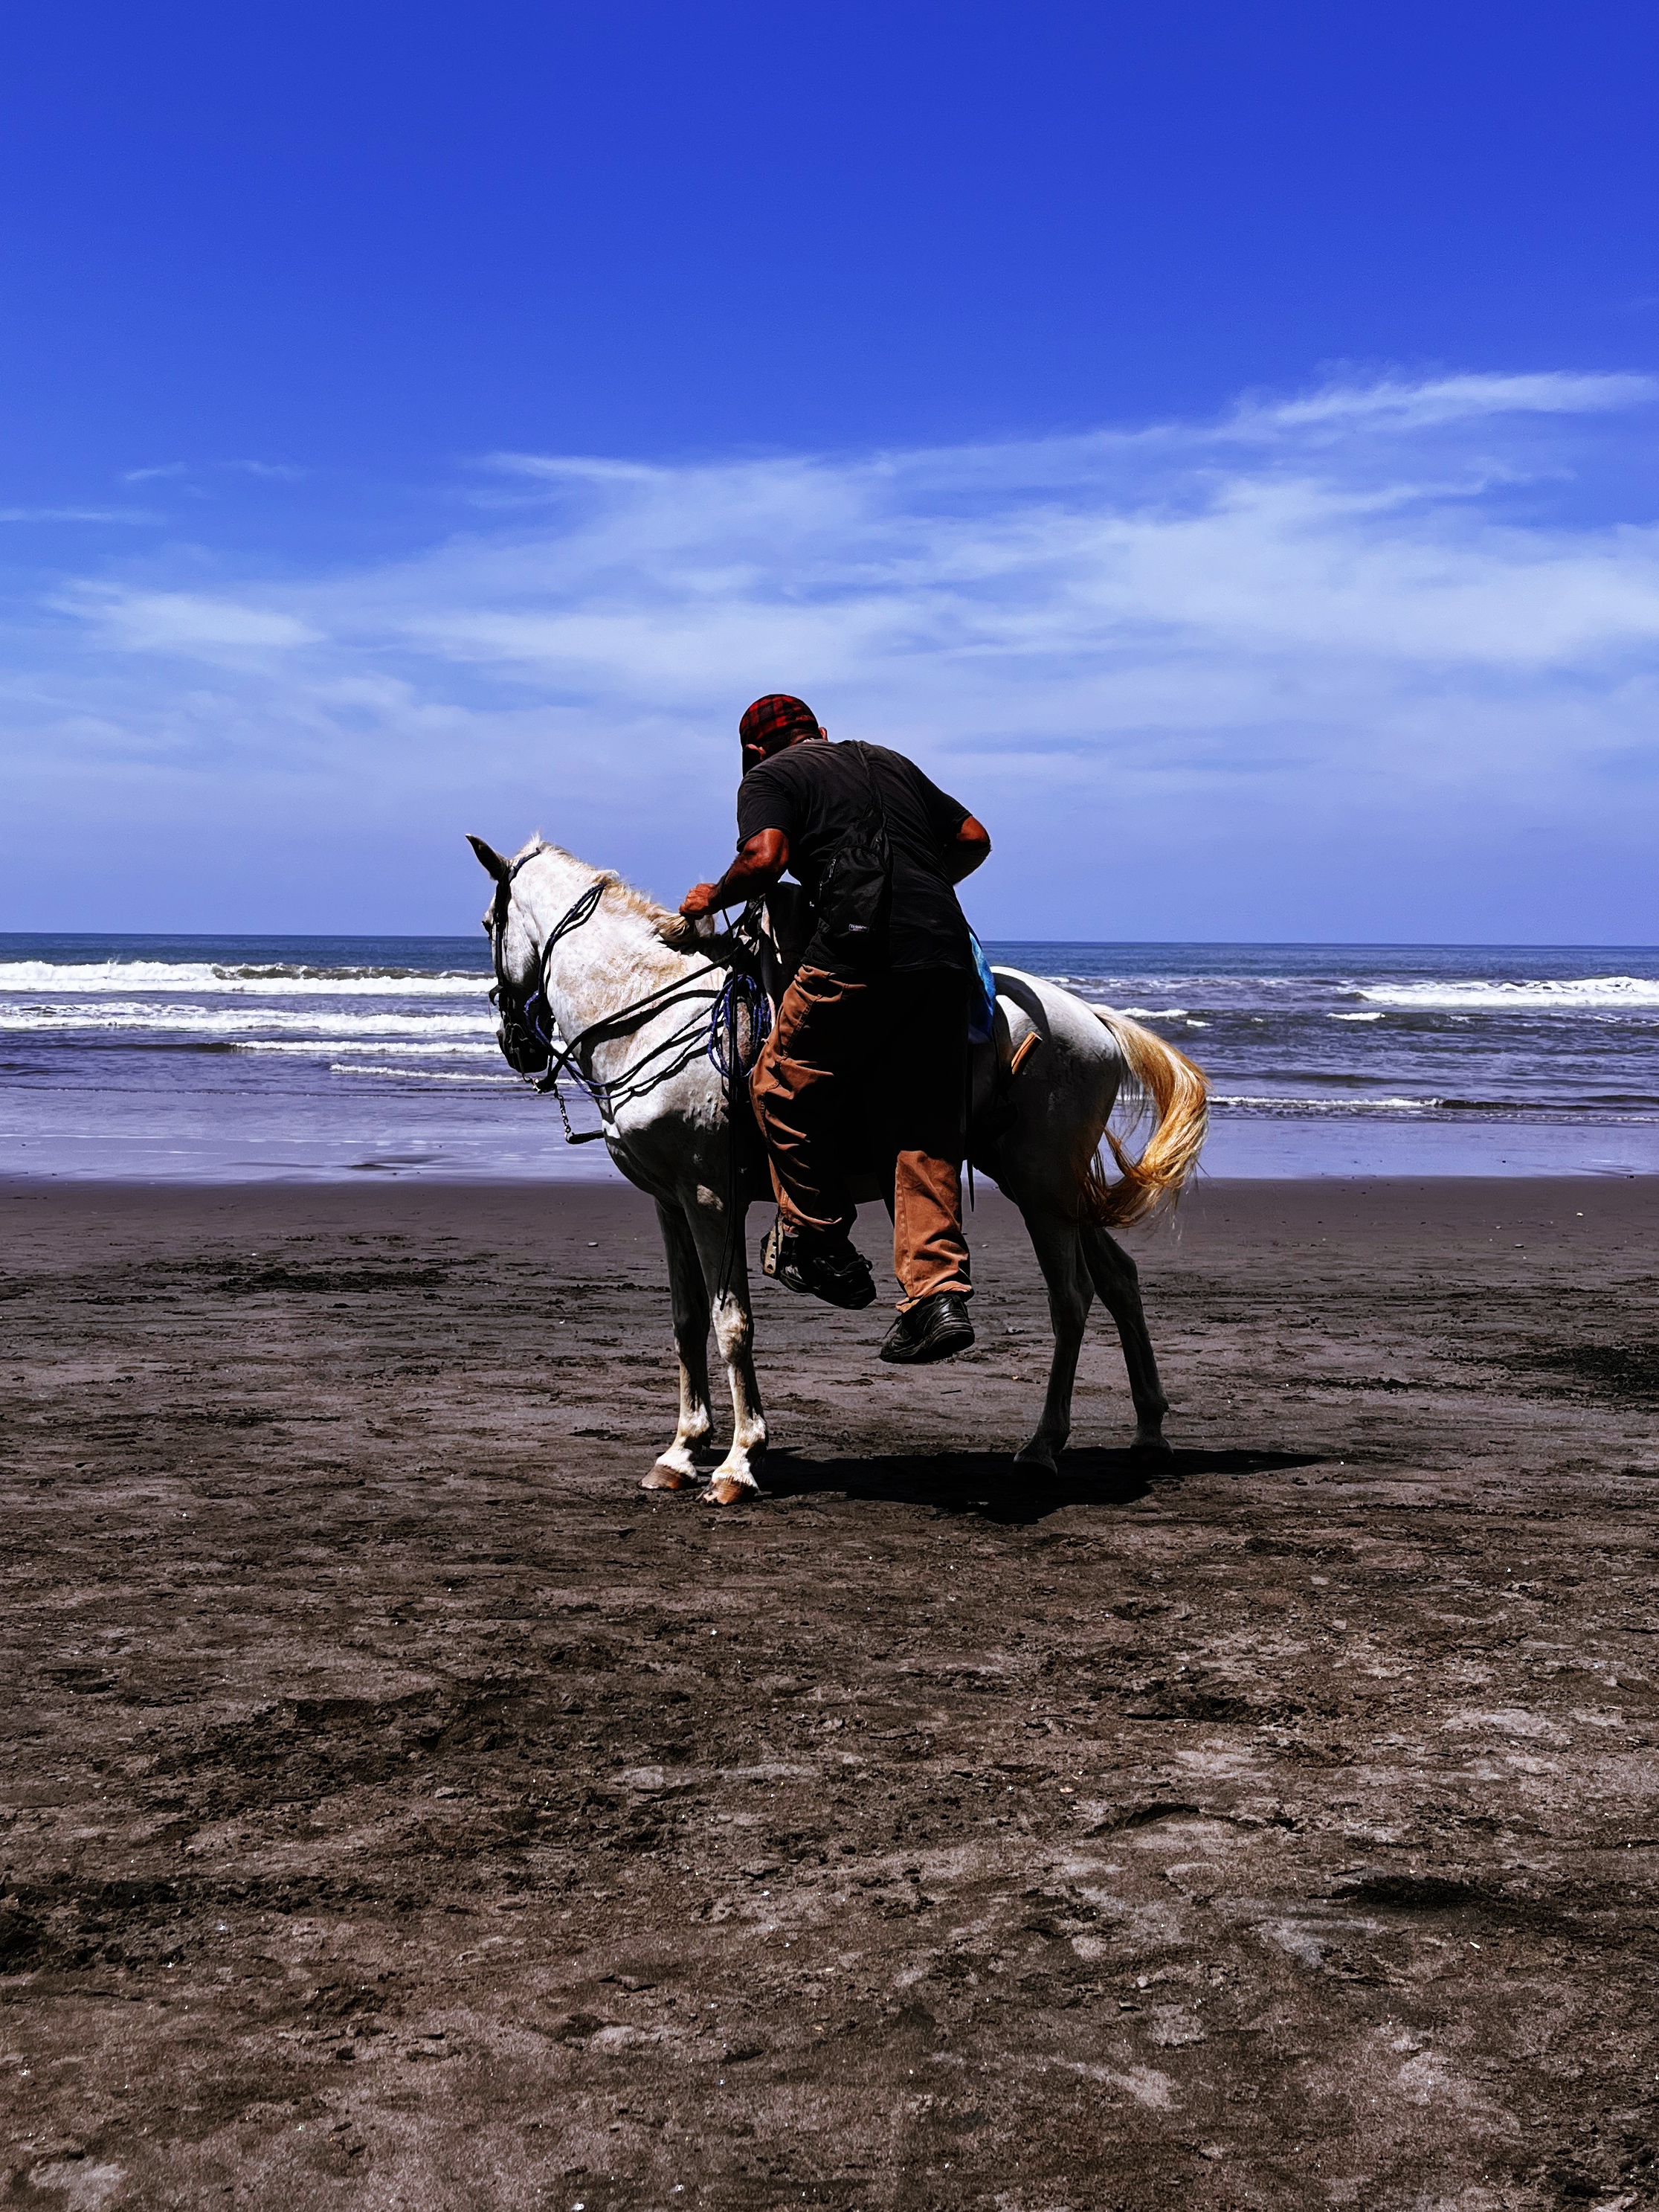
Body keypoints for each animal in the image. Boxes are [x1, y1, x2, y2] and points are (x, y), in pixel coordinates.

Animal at [467, 834, 1208, 1505]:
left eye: (486, 925)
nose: (515, 1045)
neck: (646, 1013)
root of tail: (1095, 1021)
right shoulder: (669, 1201)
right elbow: (686, 1319)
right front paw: (680, 1453)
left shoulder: (712, 1195)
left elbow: (730, 1323)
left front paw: (739, 1463)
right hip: (1054, 1186)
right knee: (1119, 1280)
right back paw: (1148, 1433)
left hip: (1041, 1187)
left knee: (1072, 1298)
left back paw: (1043, 1446)